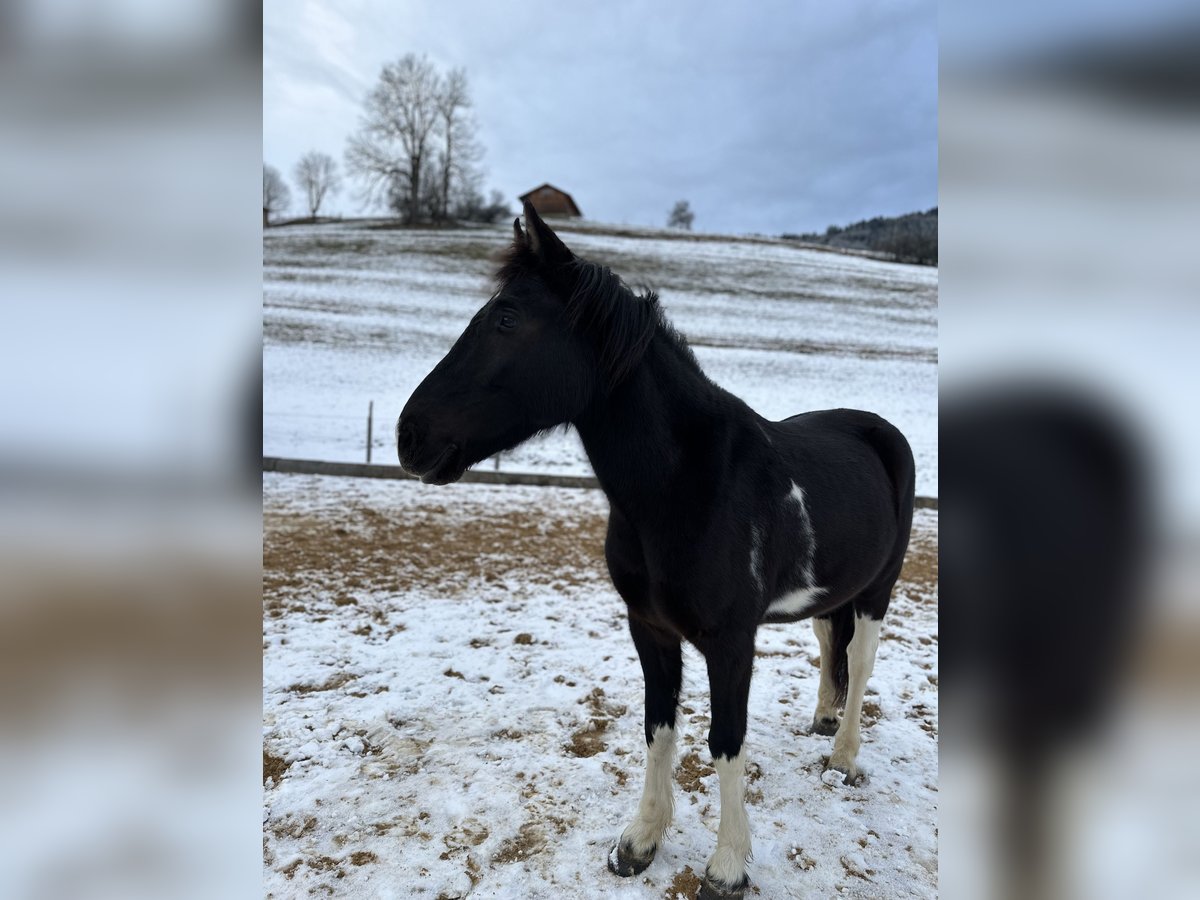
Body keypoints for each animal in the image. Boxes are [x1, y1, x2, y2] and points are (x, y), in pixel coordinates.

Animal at [398, 204, 912, 900]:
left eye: (506, 319)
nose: (409, 435)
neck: (685, 488)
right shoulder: (650, 630)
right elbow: (658, 726)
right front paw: (640, 842)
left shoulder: (730, 642)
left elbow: (725, 739)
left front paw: (727, 866)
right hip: (836, 591)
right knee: (830, 645)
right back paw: (825, 722)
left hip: (878, 590)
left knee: (858, 664)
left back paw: (843, 758)